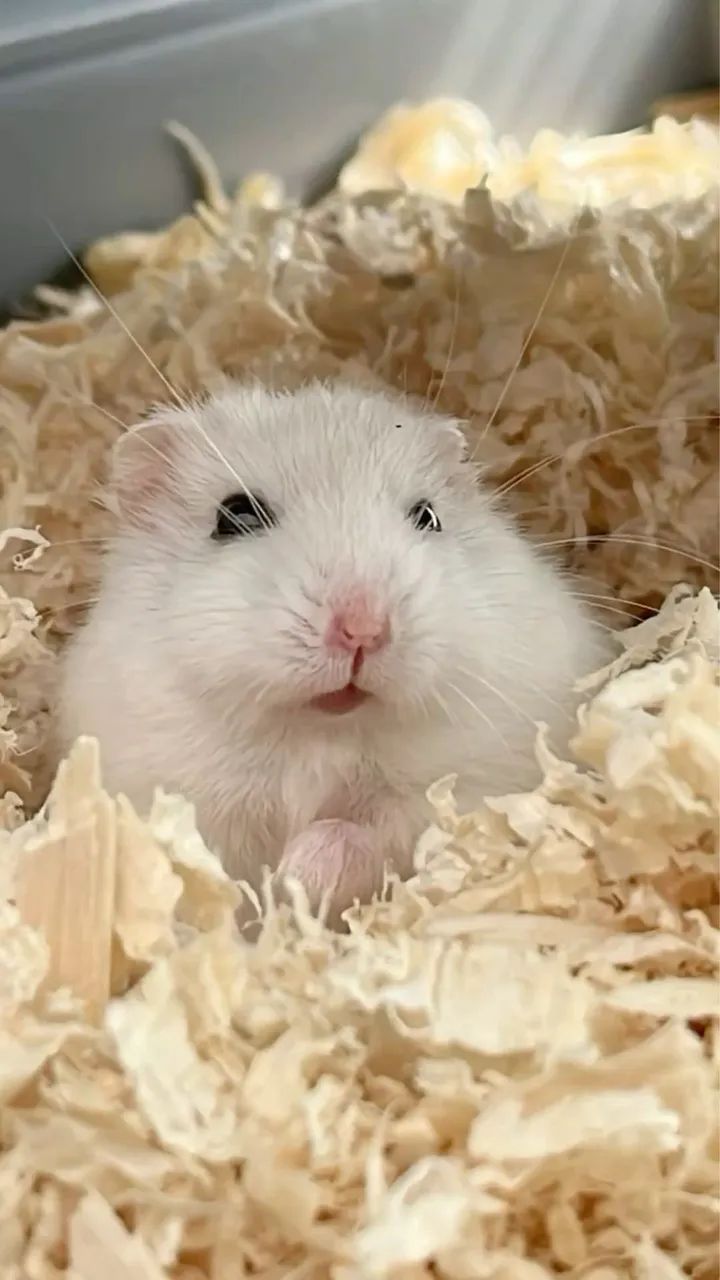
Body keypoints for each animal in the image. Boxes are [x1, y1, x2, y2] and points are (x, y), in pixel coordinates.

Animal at [57, 381, 606, 924]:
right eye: (233, 515)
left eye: (427, 516)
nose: (363, 630)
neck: (319, 732)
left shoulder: (472, 782)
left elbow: (380, 834)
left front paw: (299, 875)